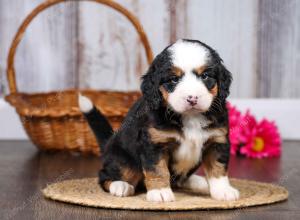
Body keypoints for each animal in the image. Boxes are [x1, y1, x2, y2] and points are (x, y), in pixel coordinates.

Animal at [78, 38, 239, 202]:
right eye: (174, 79)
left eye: (205, 76)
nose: (192, 98)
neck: (190, 116)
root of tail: (108, 144)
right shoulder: (154, 143)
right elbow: (158, 169)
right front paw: (160, 192)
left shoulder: (217, 140)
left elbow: (218, 167)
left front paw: (223, 190)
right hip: (122, 159)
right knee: (106, 176)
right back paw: (121, 186)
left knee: (180, 180)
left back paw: (199, 182)